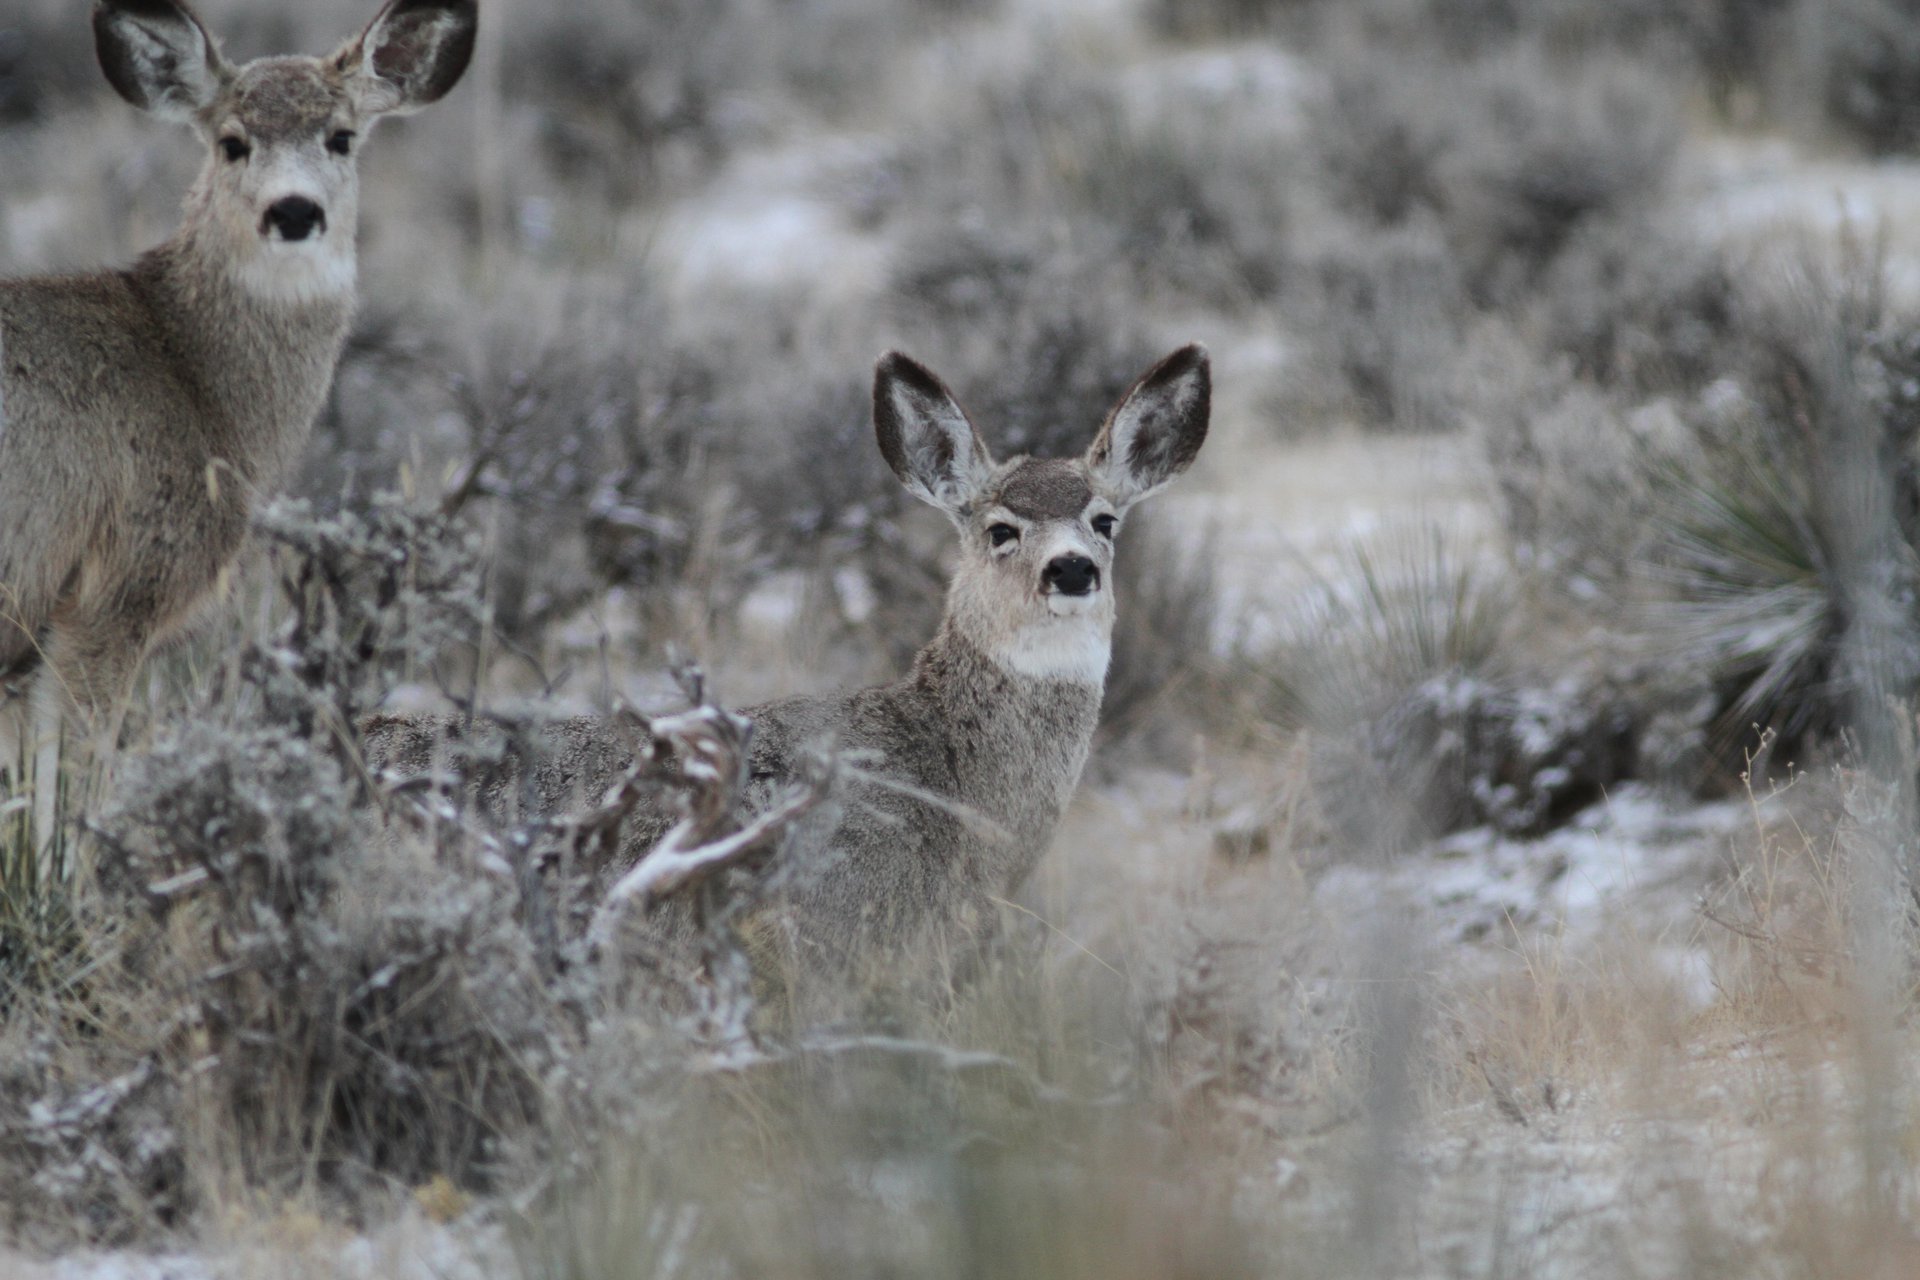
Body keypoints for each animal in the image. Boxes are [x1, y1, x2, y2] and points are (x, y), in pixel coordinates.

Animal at [0, 0, 477, 785]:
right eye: (232, 142)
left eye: (341, 137)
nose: (294, 212)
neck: (199, 383)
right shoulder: (116, 589)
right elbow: (70, 789)